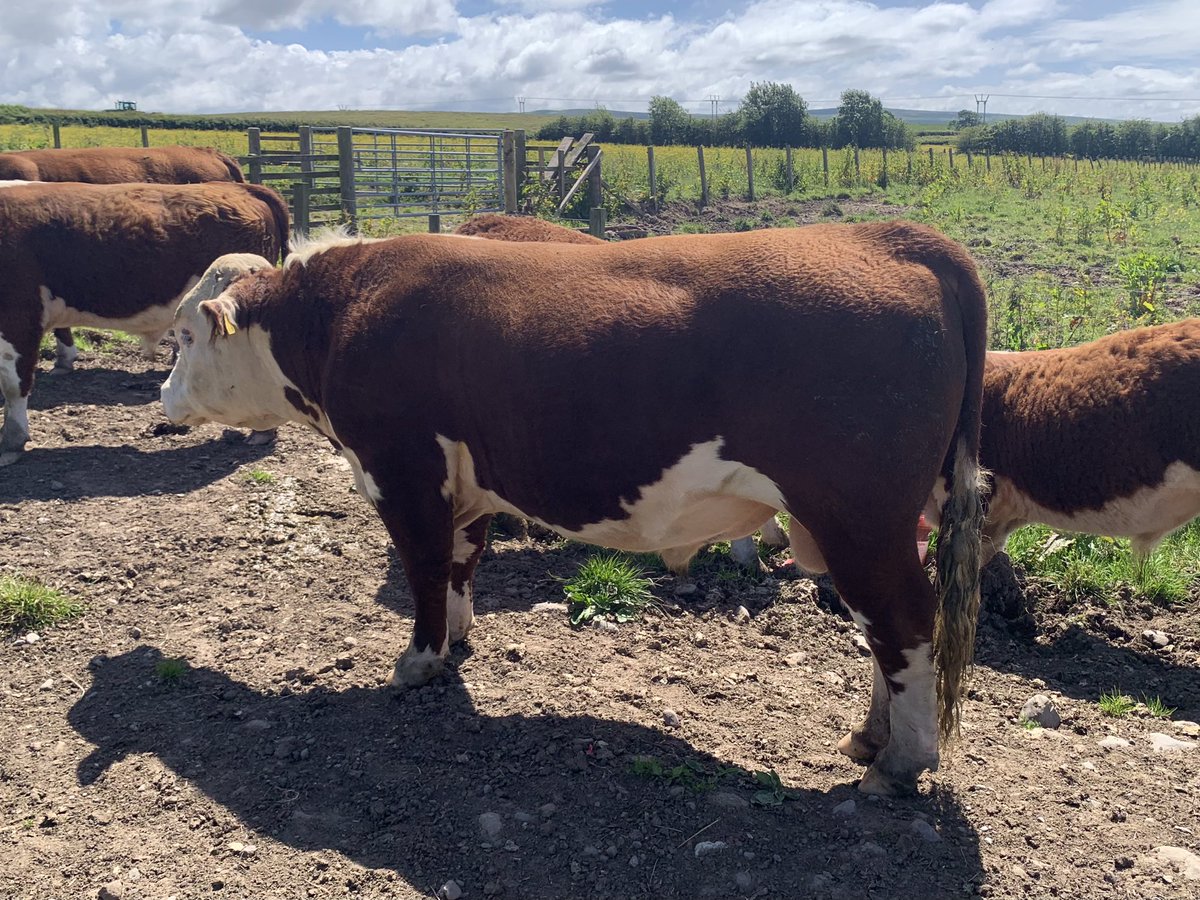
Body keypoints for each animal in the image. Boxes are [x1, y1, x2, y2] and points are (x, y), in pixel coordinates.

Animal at [160, 222, 988, 795]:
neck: (344, 311)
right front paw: (456, 638)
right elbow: (460, 562)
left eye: (183, 335)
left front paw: (418, 661)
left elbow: (423, 566)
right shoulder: (469, 480)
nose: (161, 401)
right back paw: (870, 737)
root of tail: (894, 235)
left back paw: (901, 761)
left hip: (860, 517)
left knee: (905, 621)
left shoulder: (401, 468)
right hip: (866, 524)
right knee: (882, 630)